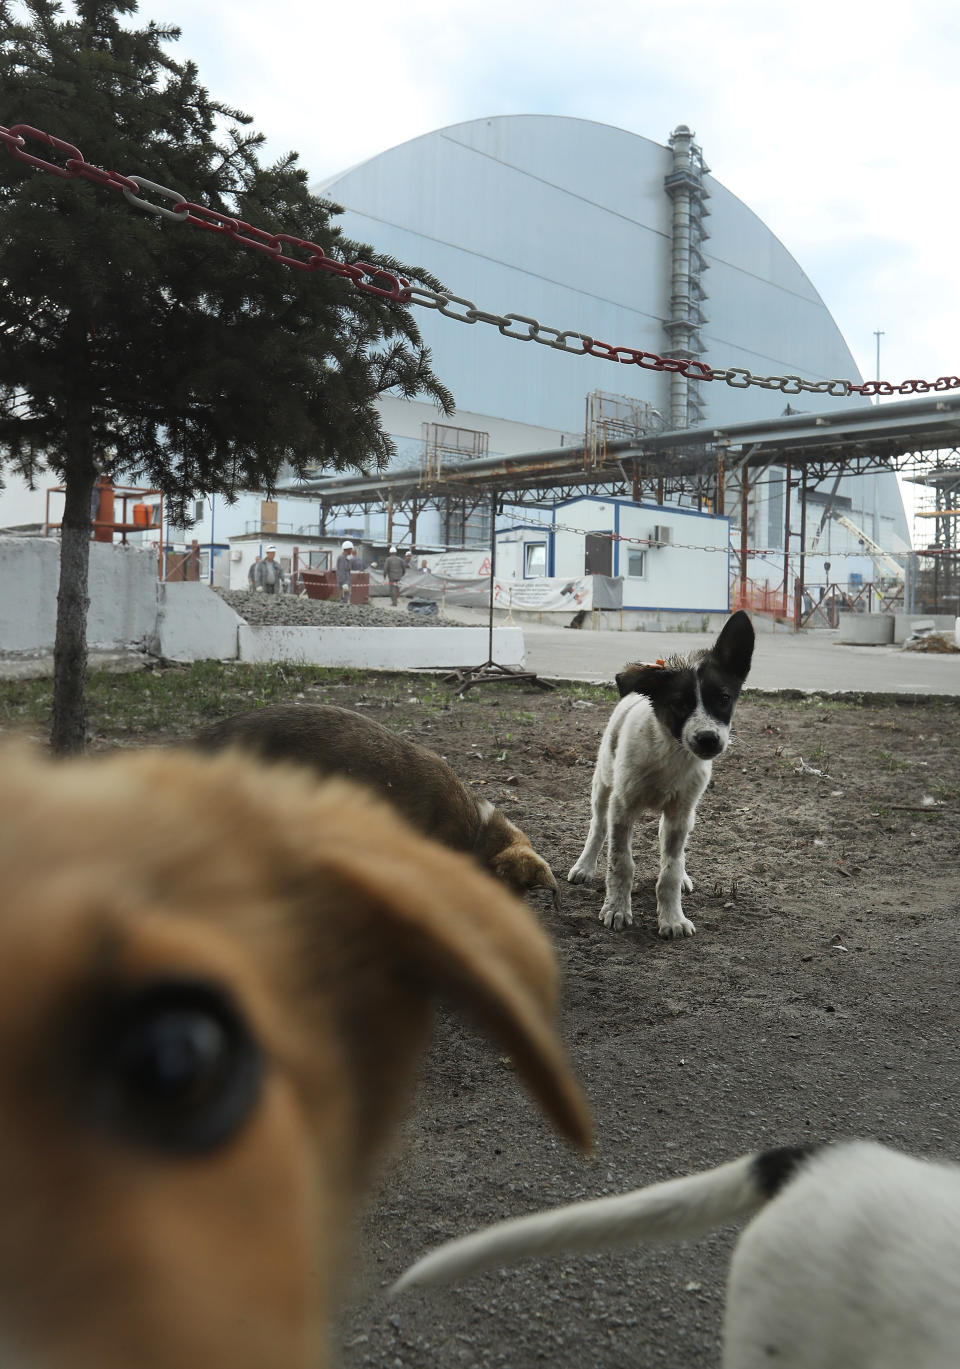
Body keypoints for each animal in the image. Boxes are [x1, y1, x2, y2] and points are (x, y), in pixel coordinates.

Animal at [564, 613, 750, 941]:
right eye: (679, 704)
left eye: (724, 699)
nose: (708, 740)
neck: (670, 753)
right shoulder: (622, 808)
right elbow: (621, 862)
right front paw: (617, 909)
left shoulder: (680, 813)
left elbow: (670, 870)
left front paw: (672, 918)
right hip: (603, 786)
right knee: (597, 827)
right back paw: (584, 866)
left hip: (683, 815)